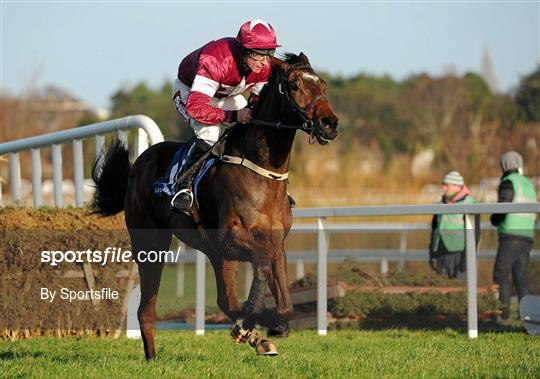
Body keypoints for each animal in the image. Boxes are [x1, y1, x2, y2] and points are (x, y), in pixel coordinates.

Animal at [92, 52, 338, 360]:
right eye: (294, 86)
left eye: (323, 85)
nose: (329, 123)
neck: (262, 175)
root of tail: (138, 164)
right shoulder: (230, 237)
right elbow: (260, 266)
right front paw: (252, 317)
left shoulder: (275, 243)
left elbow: (285, 307)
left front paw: (260, 327)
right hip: (151, 244)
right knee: (146, 308)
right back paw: (153, 356)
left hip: (215, 253)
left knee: (225, 300)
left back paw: (252, 335)